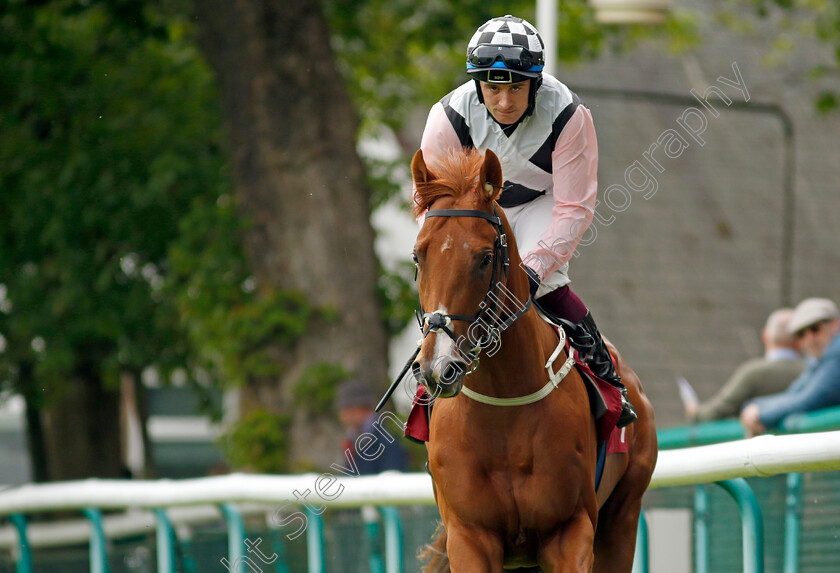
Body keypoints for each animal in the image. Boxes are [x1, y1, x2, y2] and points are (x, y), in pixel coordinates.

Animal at [410, 149, 660, 572]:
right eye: (417, 255)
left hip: (623, 516)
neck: (504, 409)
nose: (436, 368)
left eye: (485, 257)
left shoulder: (569, 531)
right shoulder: (469, 537)